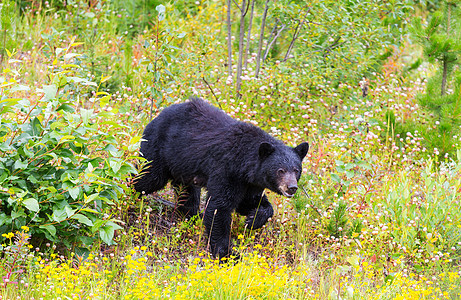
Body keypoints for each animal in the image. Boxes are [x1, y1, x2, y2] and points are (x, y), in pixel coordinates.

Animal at [133, 98, 308, 258]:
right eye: (280, 170)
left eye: (296, 170)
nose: (292, 187)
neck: (243, 162)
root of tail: (157, 115)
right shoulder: (226, 170)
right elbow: (219, 207)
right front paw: (227, 253)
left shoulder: (250, 182)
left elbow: (249, 202)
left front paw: (253, 220)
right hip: (159, 149)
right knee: (148, 176)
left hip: (183, 166)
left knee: (188, 193)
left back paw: (192, 216)